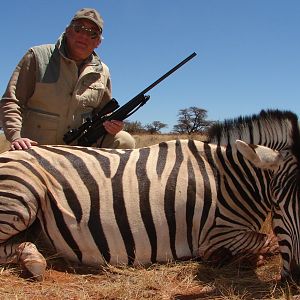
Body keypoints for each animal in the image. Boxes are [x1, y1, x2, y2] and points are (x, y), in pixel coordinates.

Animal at [0, 109, 298, 282]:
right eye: (278, 205)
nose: (296, 279)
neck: (230, 178)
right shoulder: (217, 234)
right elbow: (268, 241)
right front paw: (235, 259)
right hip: (21, 197)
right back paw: (34, 261)